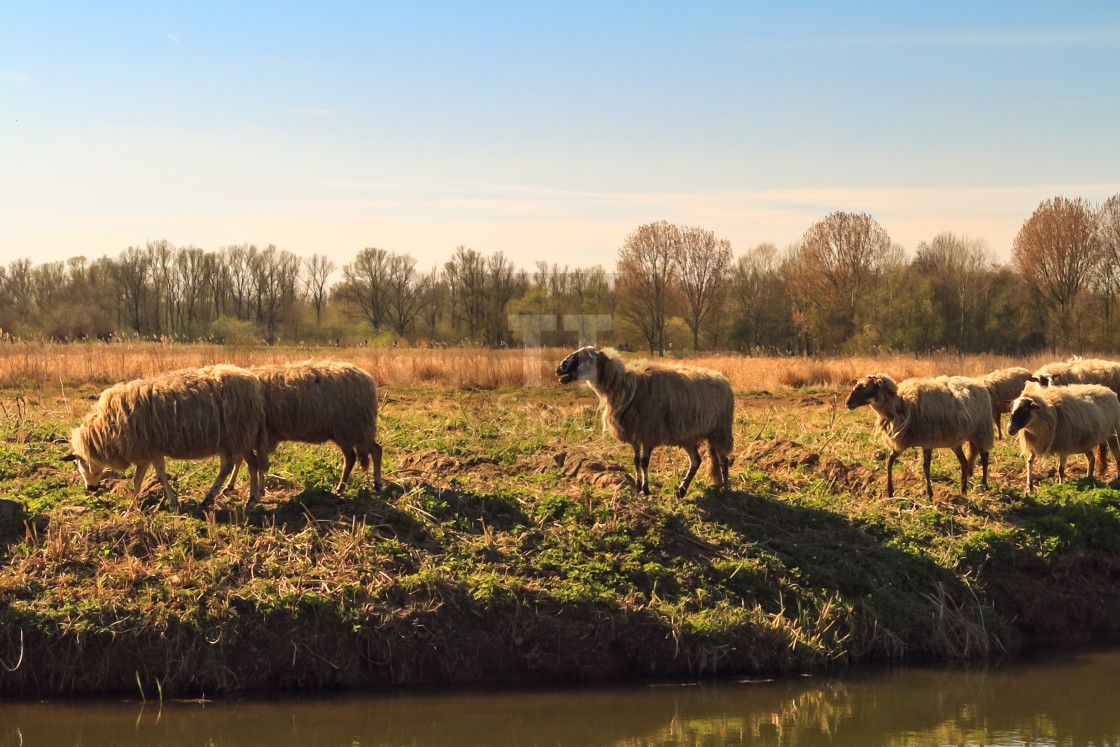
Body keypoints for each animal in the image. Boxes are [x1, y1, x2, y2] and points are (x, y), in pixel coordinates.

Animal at [62, 365, 267, 510]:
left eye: (79, 464)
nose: (90, 489)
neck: (106, 428)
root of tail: (252, 381)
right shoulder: (145, 453)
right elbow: (138, 480)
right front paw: (132, 505)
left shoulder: (152, 450)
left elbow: (160, 477)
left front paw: (173, 503)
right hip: (232, 440)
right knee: (238, 464)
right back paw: (233, 496)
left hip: (237, 435)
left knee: (242, 464)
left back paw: (236, 499)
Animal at [553, 347, 734, 499]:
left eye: (586, 357)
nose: (559, 367)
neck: (623, 385)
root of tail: (721, 377)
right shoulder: (634, 434)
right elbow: (636, 461)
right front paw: (638, 487)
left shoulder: (648, 433)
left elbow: (644, 463)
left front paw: (645, 490)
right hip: (688, 435)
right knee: (696, 461)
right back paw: (681, 490)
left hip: (720, 430)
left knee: (723, 459)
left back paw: (725, 487)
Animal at [842, 371, 994, 499]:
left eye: (866, 387)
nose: (848, 403)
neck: (901, 406)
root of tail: (978, 384)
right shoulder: (902, 442)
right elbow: (889, 461)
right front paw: (889, 492)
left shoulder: (928, 440)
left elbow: (926, 467)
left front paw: (929, 494)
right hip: (956, 441)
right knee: (964, 462)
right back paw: (963, 491)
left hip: (981, 431)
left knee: (985, 456)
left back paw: (984, 483)